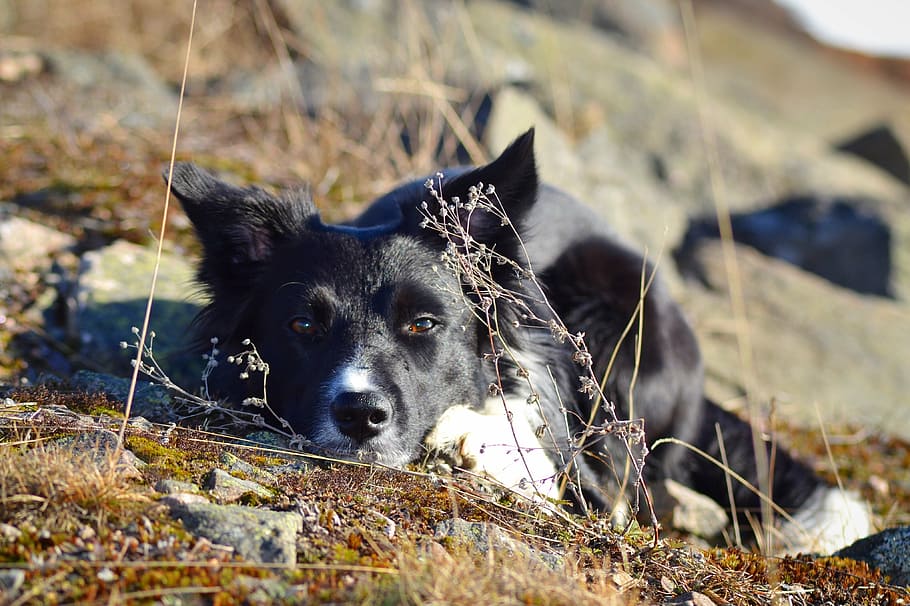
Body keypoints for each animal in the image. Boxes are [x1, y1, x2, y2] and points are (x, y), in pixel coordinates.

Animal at [167, 129, 872, 556]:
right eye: (303, 327)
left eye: (423, 324)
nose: (361, 415)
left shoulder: (579, 462)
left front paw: (478, 443)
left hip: (611, 315)